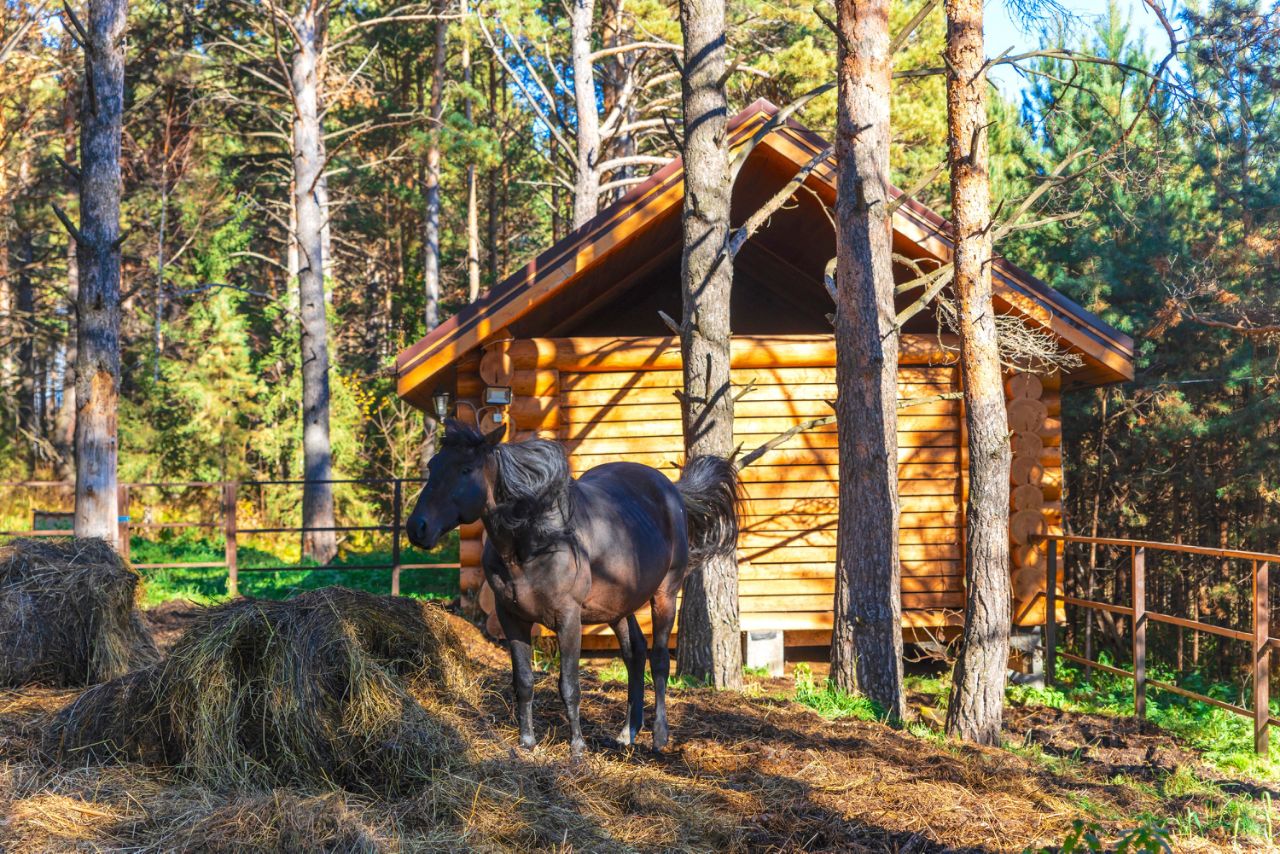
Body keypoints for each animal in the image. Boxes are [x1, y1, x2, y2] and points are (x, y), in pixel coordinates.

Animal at [404, 419, 737, 752]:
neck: (533, 541)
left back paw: (659, 736)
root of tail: (672, 491)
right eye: (433, 465)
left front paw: (577, 746)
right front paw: (527, 741)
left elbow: (568, 684)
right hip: (618, 607)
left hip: (665, 594)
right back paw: (627, 731)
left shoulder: (568, 619)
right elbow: (523, 681)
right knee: (635, 653)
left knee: (658, 659)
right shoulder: (512, 618)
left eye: (466, 469)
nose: (417, 527)